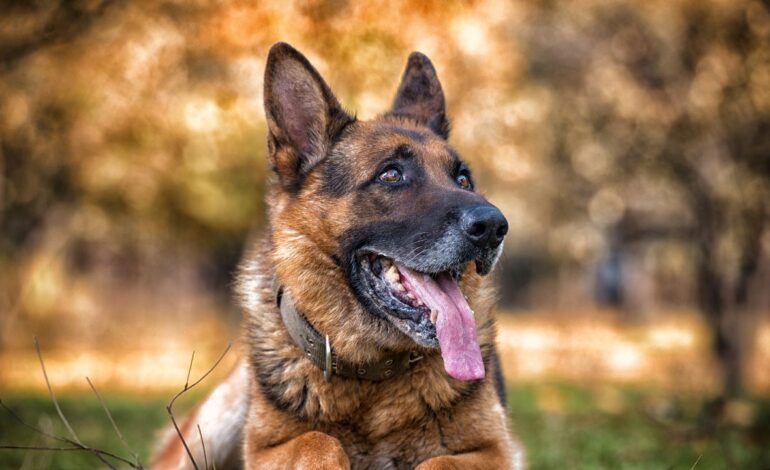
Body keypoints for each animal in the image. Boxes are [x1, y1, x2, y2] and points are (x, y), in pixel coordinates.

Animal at [150, 42, 520, 468]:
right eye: (391, 175)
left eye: (464, 180)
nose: (493, 226)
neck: (374, 377)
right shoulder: (263, 449)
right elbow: (318, 440)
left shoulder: (495, 451)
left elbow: (438, 460)